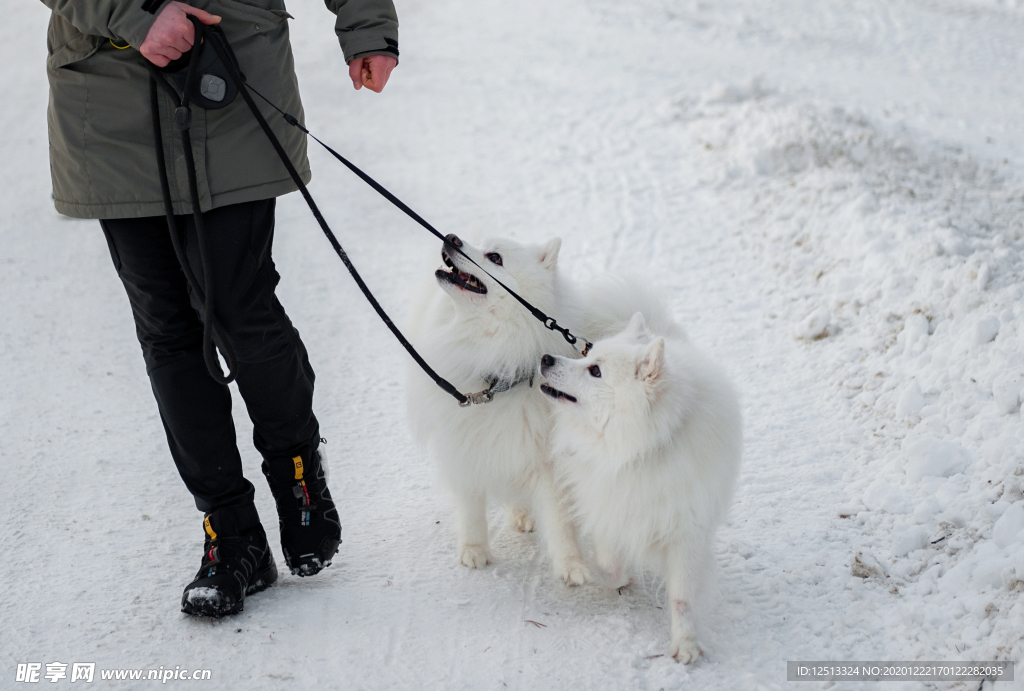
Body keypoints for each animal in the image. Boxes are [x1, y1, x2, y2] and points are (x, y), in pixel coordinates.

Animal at [403, 233, 589, 585]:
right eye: (478, 242)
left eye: (495, 258)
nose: (451, 237)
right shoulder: (466, 448)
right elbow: (471, 507)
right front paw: (474, 551)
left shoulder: (547, 461)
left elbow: (560, 521)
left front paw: (572, 566)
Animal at [540, 311, 741, 663]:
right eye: (587, 356)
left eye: (595, 371)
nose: (546, 358)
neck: (642, 449)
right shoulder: (611, 505)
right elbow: (609, 563)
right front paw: (619, 577)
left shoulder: (687, 532)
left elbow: (682, 596)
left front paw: (685, 643)